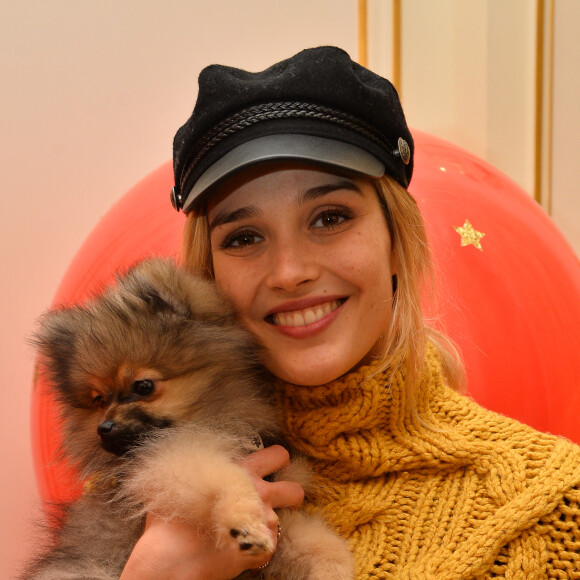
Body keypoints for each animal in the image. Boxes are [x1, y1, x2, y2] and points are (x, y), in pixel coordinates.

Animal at [22, 260, 352, 580]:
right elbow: (229, 478)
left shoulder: (284, 505)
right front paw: (246, 523)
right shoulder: (174, 458)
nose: (104, 428)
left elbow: (326, 546)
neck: (211, 420)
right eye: (98, 400)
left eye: (143, 387)